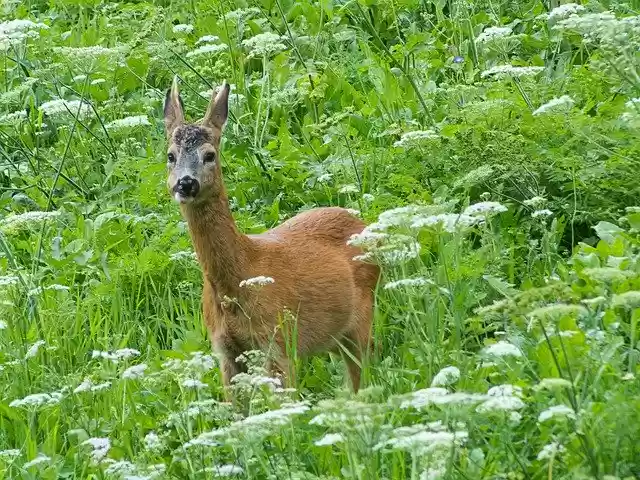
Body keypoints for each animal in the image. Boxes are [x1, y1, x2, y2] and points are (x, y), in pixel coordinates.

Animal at [162, 76, 380, 399]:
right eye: (170, 156)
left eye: (209, 155)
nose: (185, 183)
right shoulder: (225, 351)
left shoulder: (277, 342)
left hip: (361, 319)